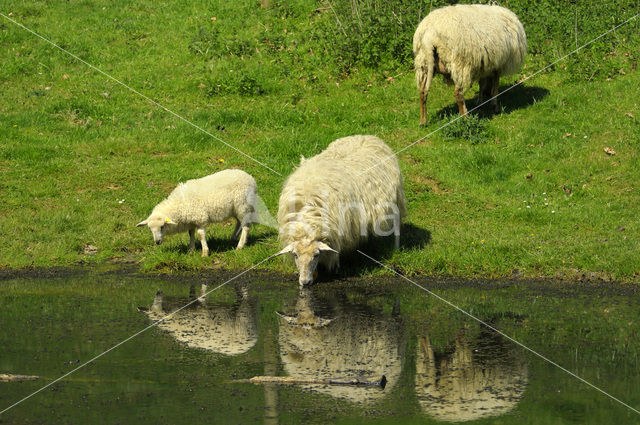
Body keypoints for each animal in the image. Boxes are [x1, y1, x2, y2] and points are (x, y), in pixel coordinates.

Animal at [276, 134, 404, 284]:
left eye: (316, 255)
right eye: (295, 255)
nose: (305, 282)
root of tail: (368, 136)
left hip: (396, 201)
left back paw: (396, 247)